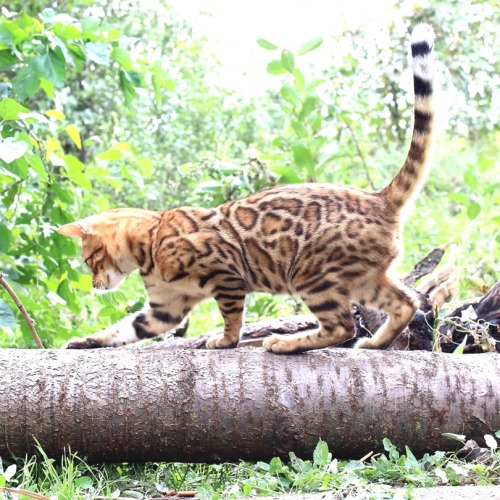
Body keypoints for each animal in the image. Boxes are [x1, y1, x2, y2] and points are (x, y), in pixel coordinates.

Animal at [57, 22, 434, 352]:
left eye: (89, 259)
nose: (94, 285)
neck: (149, 243)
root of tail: (379, 198)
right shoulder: (165, 308)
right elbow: (123, 330)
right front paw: (86, 340)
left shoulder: (226, 274)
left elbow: (232, 316)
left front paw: (224, 341)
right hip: (362, 279)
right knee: (406, 302)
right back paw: (376, 342)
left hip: (311, 274)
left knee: (343, 325)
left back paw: (287, 343)